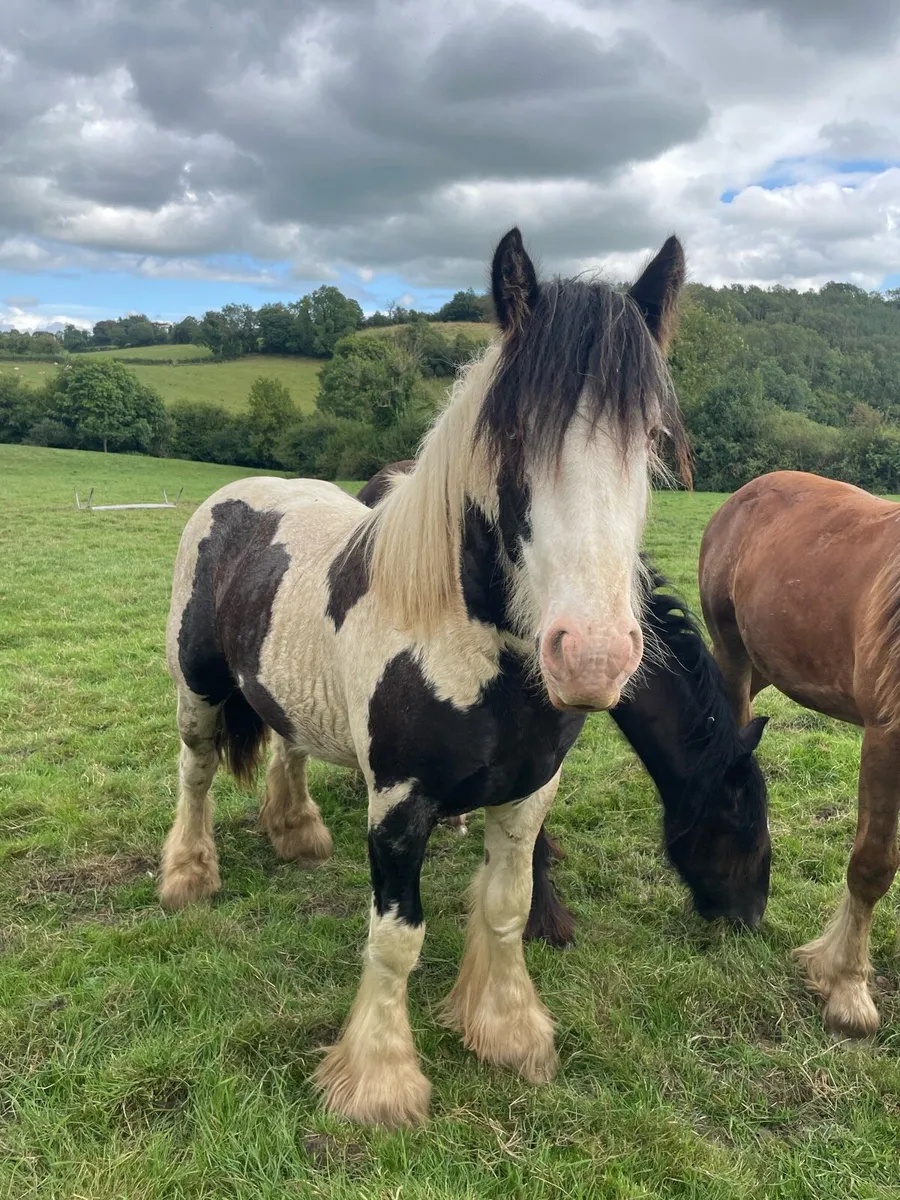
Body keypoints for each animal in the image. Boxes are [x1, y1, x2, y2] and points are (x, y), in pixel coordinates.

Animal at [159, 226, 689, 1128]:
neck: (472, 651)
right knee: (195, 773)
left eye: (650, 438)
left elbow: (506, 910)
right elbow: (397, 938)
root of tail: (241, 493)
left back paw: (296, 832)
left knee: (290, 744)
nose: (592, 655)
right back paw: (188, 876)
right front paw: (378, 1081)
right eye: (511, 435)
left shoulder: (528, 794)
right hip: (197, 691)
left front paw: (506, 1032)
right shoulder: (401, 806)